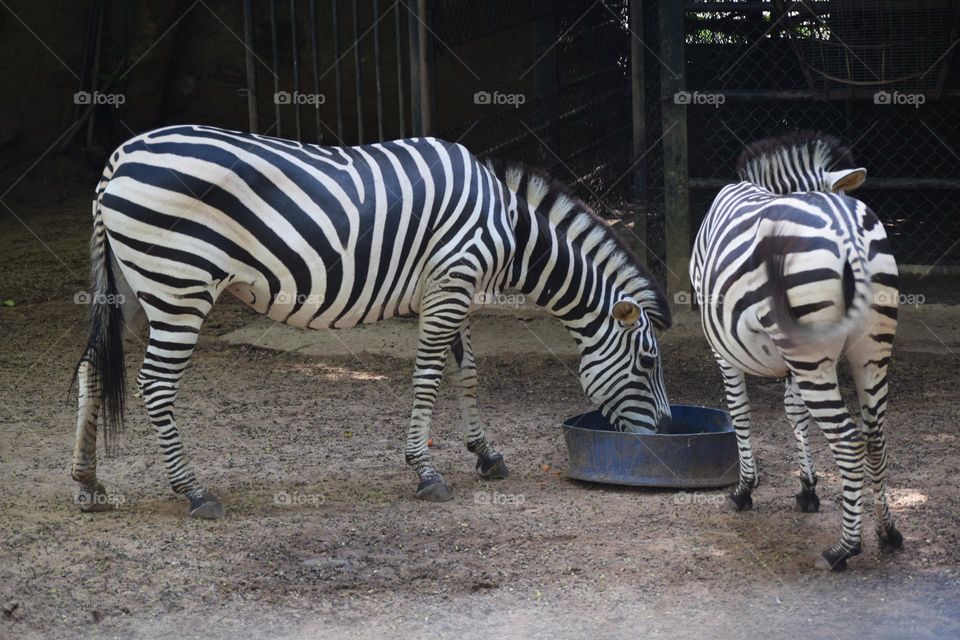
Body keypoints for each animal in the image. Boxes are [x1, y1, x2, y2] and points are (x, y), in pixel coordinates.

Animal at [72, 124, 672, 518]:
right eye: (647, 362)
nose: (663, 439)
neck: (506, 226)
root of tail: (120, 157)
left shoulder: (454, 289)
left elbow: (468, 375)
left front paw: (487, 455)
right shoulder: (451, 284)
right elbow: (429, 377)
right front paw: (426, 471)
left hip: (131, 289)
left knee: (91, 369)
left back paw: (87, 484)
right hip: (180, 286)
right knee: (155, 385)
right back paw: (194, 492)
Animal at [690, 131, 903, 571]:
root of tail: (847, 233)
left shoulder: (722, 347)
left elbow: (739, 412)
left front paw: (745, 489)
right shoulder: (791, 356)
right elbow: (794, 410)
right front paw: (807, 488)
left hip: (812, 354)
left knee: (849, 439)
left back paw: (843, 549)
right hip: (869, 351)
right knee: (875, 435)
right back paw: (887, 532)